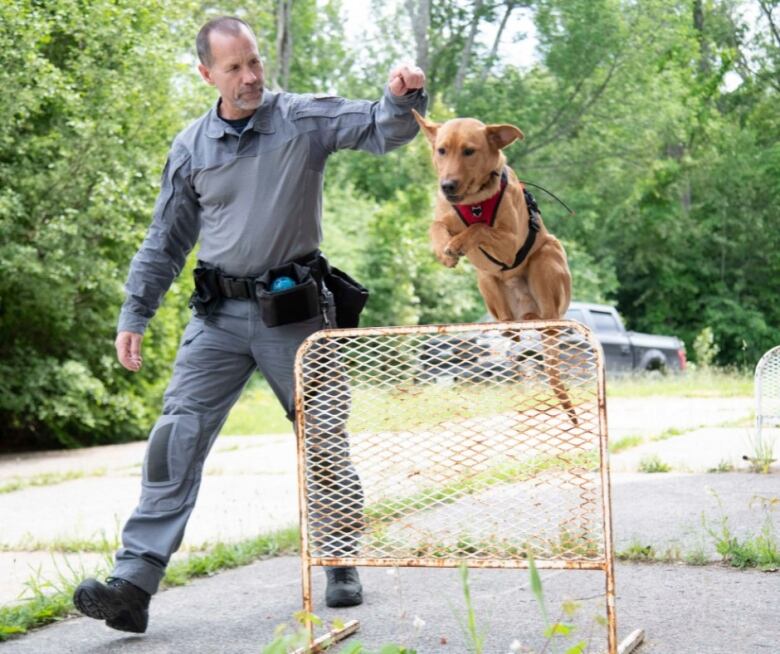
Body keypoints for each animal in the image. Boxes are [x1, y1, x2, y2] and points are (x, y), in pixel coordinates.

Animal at [418, 111, 576, 422]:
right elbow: (436, 225)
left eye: (469, 151)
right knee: (509, 325)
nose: (447, 185)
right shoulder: (446, 217)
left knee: (547, 316)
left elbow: (479, 227)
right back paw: (510, 322)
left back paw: (536, 318)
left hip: (546, 260)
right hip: (486, 279)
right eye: (441, 150)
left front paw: (458, 243)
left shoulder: (509, 245)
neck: (474, 201)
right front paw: (445, 251)